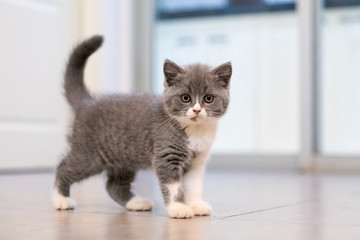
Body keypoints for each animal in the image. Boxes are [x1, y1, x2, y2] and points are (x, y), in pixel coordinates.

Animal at [52, 34, 232, 218]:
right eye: (185, 98)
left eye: (208, 98)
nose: (196, 110)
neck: (195, 131)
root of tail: (87, 103)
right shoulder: (166, 156)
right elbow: (174, 187)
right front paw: (178, 207)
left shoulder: (197, 161)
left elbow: (194, 186)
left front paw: (195, 205)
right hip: (89, 154)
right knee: (64, 167)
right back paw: (60, 199)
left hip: (123, 158)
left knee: (114, 184)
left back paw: (136, 203)